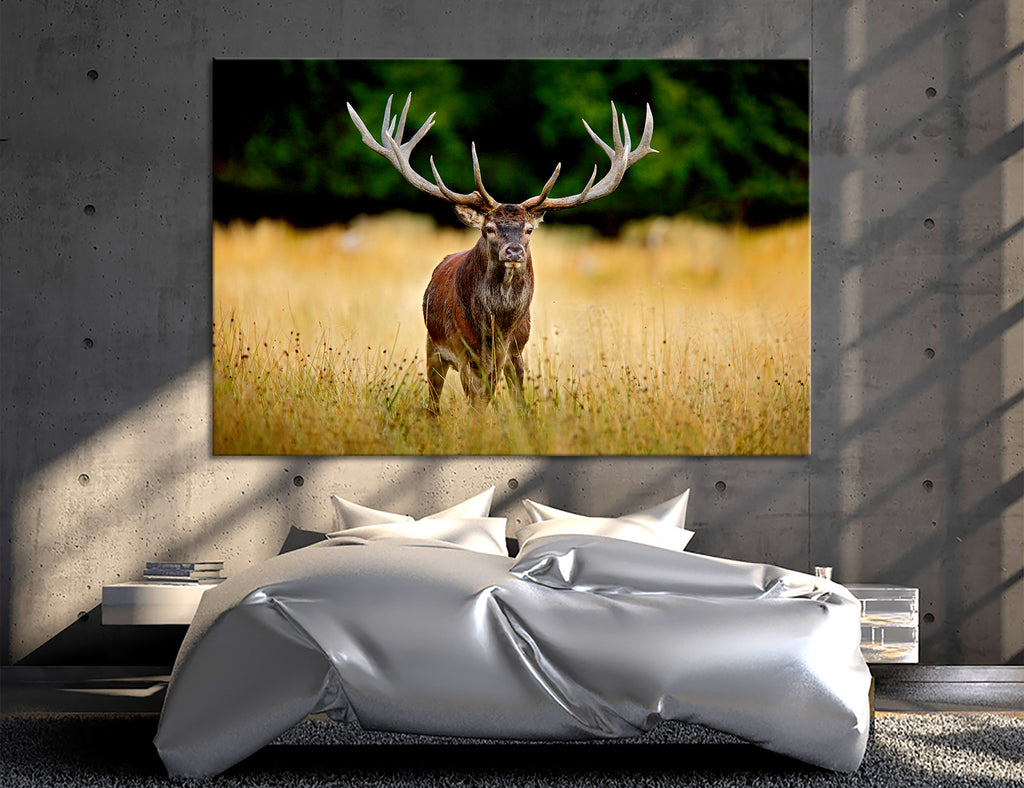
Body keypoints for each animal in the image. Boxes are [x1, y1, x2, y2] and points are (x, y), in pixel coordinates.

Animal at [347, 93, 656, 415]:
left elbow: (518, 402)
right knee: (433, 405)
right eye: (490, 228)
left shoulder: (515, 351)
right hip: (433, 346)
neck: (497, 329)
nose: (514, 251)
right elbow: (477, 406)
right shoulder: (465, 354)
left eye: (529, 229)